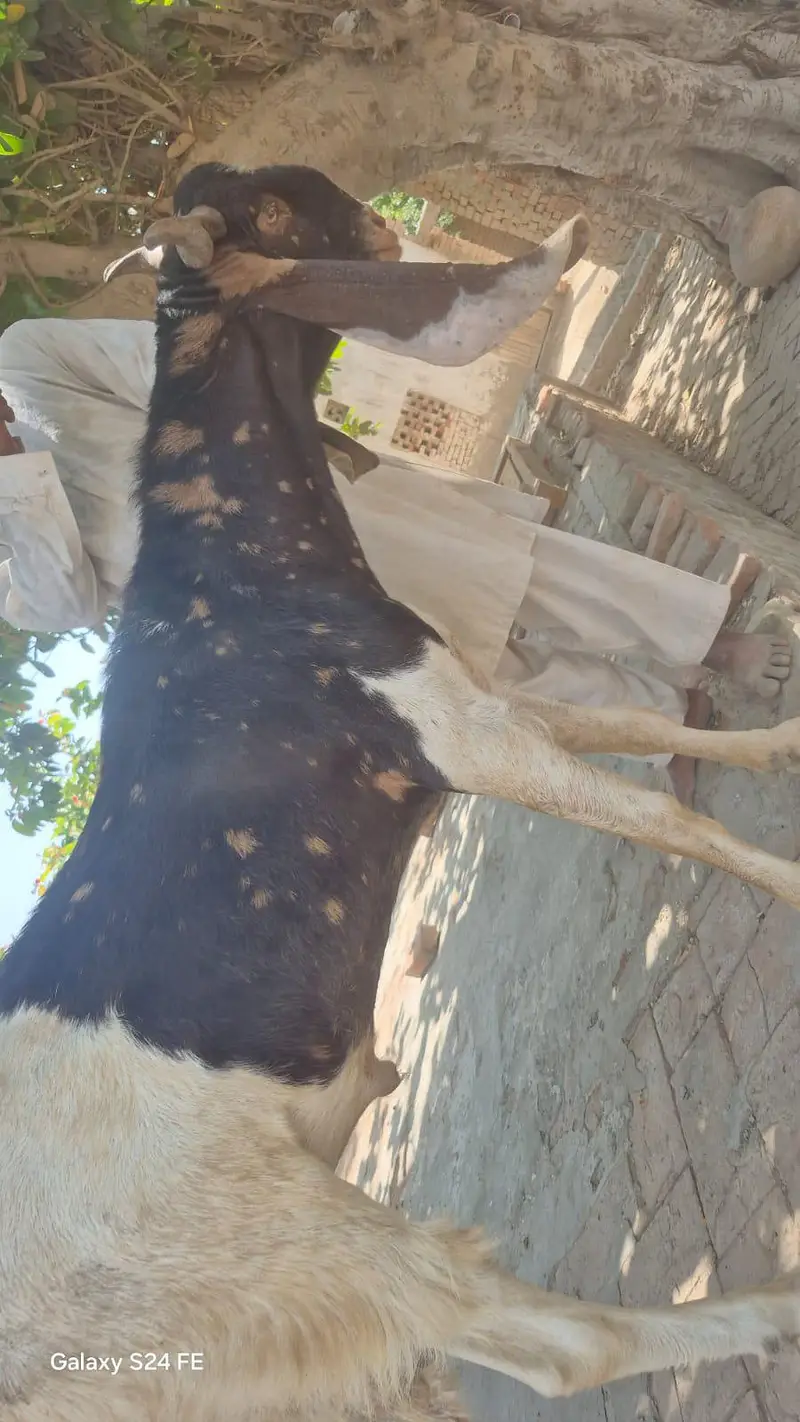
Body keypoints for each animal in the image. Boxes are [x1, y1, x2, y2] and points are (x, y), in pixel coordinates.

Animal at [0, 163, 797, 1421]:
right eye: (277, 214)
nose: (385, 223)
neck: (239, 572)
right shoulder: (459, 733)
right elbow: (658, 817)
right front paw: (793, 877)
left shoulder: (459, 695)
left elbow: (628, 729)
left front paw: (777, 739)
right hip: (250, 1249)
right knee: (543, 1339)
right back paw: (778, 1308)